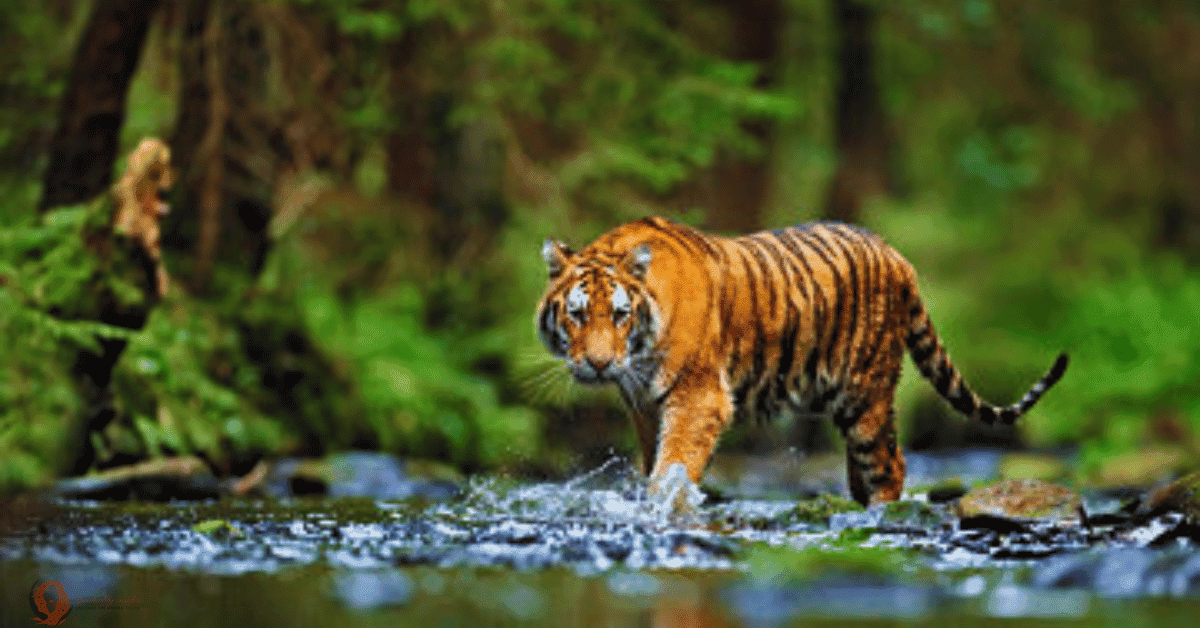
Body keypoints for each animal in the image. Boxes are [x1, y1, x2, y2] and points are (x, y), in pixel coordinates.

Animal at [536, 216, 1068, 509]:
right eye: (578, 314)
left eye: (620, 315)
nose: (599, 364)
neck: (639, 356)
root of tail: (897, 255)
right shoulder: (645, 406)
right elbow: (655, 464)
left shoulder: (698, 398)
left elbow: (674, 467)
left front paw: (663, 508)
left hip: (865, 394)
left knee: (890, 465)